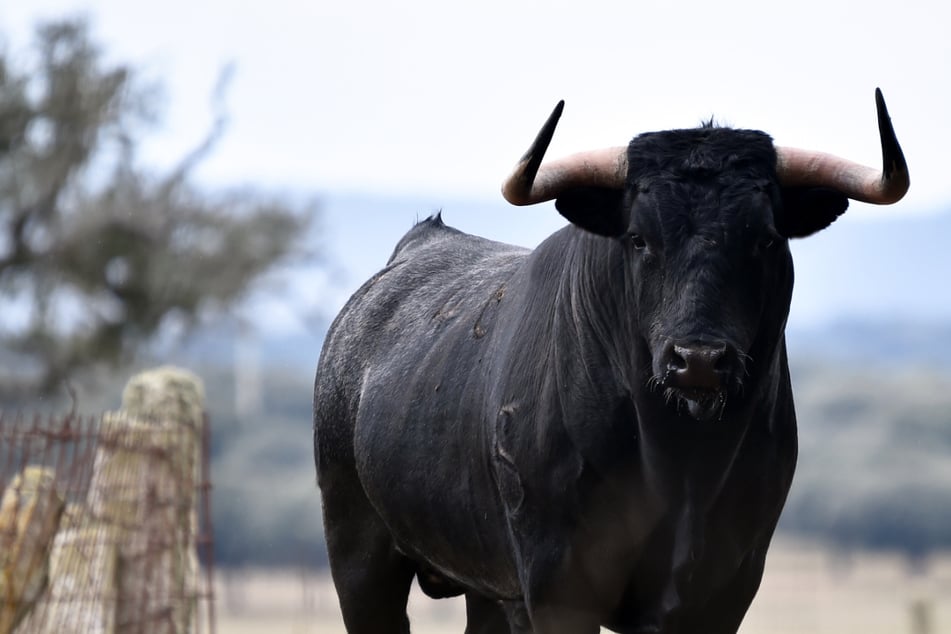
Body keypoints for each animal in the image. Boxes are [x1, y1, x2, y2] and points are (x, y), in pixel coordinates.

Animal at [312, 90, 908, 632]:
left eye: (764, 239)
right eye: (639, 238)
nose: (698, 360)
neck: (681, 463)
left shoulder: (725, 589)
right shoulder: (558, 587)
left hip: (487, 590)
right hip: (358, 555)